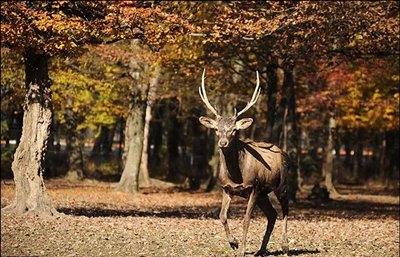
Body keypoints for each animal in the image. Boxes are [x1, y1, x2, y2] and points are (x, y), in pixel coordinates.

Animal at [198, 69, 290, 255]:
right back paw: (261, 249)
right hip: (263, 194)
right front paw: (233, 243)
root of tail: (283, 152)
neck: (237, 175)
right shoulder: (226, 188)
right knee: (272, 214)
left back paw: (285, 246)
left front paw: (241, 249)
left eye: (234, 130)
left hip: (281, 183)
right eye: (216, 129)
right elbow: (222, 216)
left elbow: (246, 219)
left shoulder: (254, 186)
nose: (223, 143)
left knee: (285, 209)